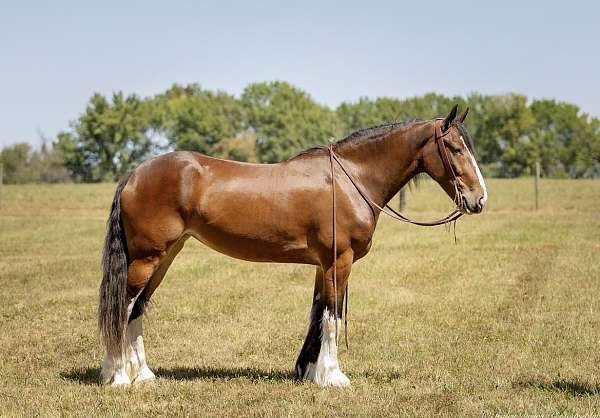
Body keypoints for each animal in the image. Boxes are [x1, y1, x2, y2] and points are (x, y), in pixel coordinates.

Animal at [96, 105, 486, 388]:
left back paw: (143, 375)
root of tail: (134, 174)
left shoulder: (322, 266)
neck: (350, 180)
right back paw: (119, 376)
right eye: (455, 148)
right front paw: (334, 377)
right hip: (147, 258)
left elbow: (317, 314)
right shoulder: (339, 262)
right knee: (122, 308)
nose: (479, 200)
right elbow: (333, 318)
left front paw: (310, 372)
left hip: (165, 257)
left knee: (136, 309)